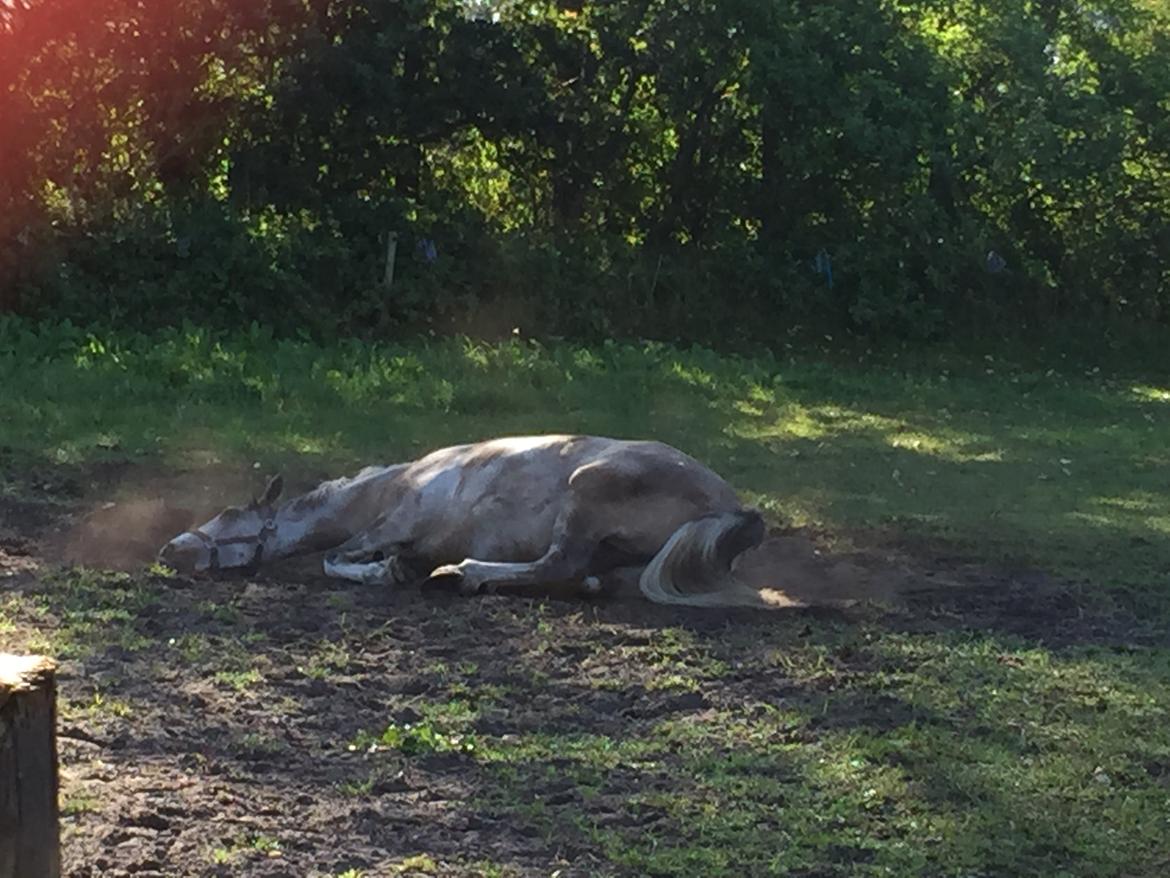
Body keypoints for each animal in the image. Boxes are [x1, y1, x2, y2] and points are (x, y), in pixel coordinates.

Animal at [160, 435, 772, 613]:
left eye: (229, 518)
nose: (169, 551)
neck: (393, 484)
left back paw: (462, 574)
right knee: (576, 573)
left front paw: (392, 572)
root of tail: (731, 505)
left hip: (586, 492)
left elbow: (338, 559)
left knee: (560, 563)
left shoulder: (387, 528)